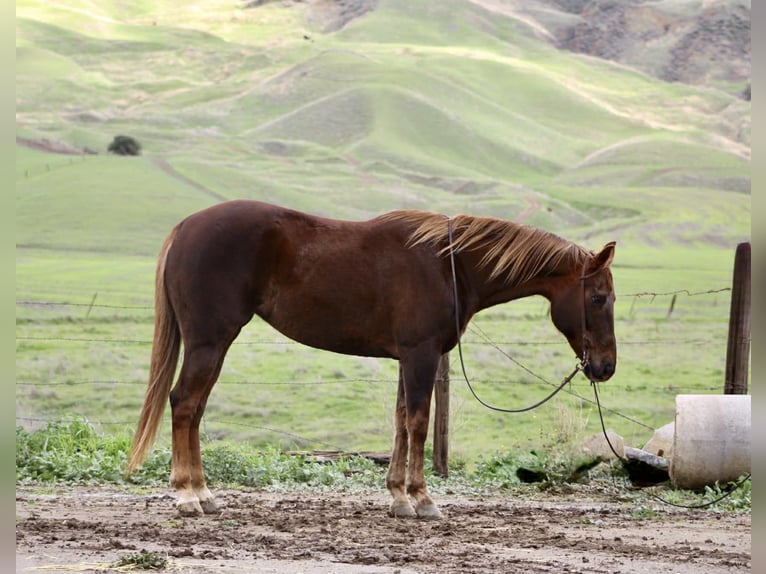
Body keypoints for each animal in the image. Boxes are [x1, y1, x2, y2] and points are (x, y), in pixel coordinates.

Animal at [127, 200, 617, 519]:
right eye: (598, 297)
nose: (606, 366)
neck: (450, 266)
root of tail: (186, 227)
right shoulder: (420, 355)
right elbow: (418, 422)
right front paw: (422, 499)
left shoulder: (406, 358)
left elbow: (400, 421)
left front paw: (398, 498)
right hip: (210, 342)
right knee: (184, 404)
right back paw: (188, 496)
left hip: (212, 345)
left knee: (193, 409)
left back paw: (204, 494)